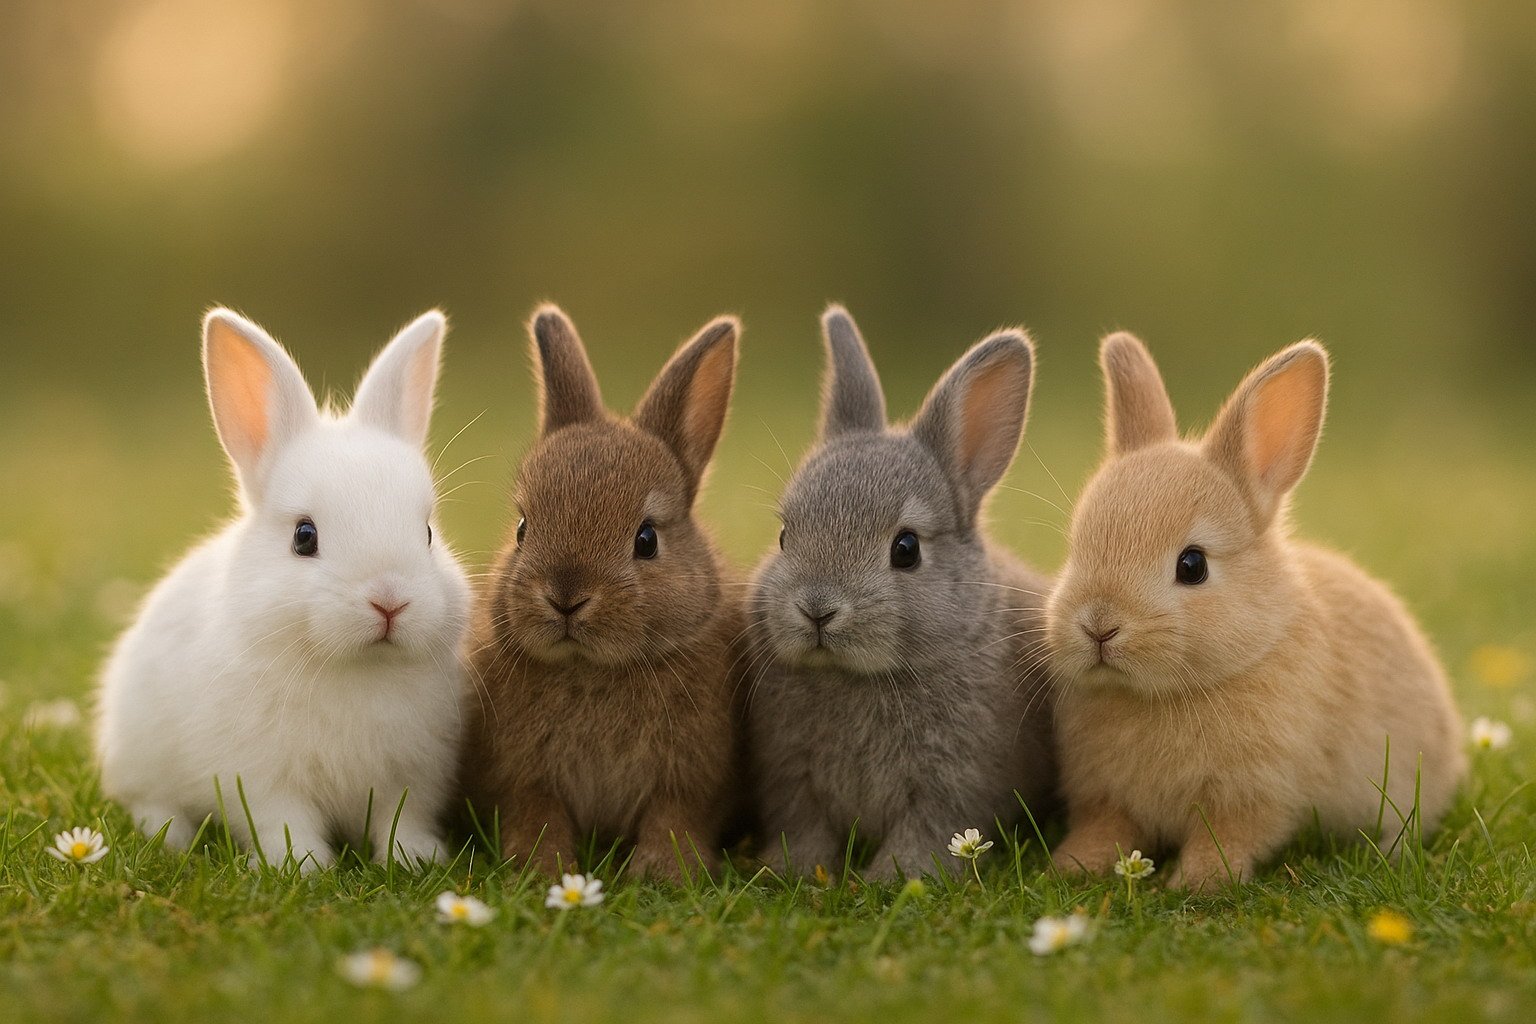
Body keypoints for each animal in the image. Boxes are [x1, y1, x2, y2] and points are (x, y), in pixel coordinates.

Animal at [96, 308, 470, 872]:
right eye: (304, 536)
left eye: (427, 533)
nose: (389, 601)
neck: (356, 669)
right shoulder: (261, 778)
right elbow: (283, 822)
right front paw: (304, 867)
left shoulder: (413, 775)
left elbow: (401, 819)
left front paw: (413, 860)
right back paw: (171, 836)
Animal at [460, 305, 744, 881]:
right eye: (523, 527)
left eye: (646, 539)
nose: (565, 598)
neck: (592, 669)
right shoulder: (524, 777)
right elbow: (539, 816)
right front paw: (543, 869)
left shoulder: (689, 778)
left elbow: (672, 817)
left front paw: (664, 871)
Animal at [745, 306, 1057, 881]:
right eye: (783, 536)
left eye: (906, 548)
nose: (817, 609)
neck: (857, 677)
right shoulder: (793, 778)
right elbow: (806, 827)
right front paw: (791, 870)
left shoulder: (952, 783)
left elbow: (925, 831)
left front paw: (895, 878)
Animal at [1047, 332, 1466, 889]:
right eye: (1075, 548)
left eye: (1193, 565)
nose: (1099, 626)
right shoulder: (1107, 798)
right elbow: (1104, 829)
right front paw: (1069, 867)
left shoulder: (1254, 795)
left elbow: (1229, 838)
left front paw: (1199, 884)